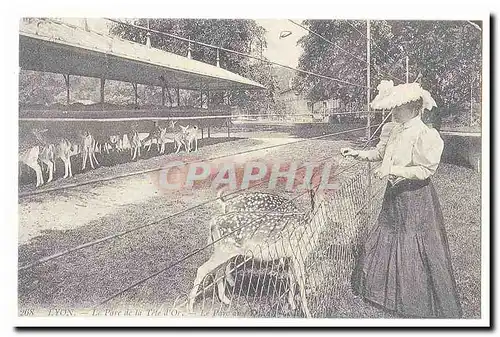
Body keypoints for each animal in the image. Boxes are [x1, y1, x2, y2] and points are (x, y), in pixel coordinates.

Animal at [188, 185, 324, 316]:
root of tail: (214, 221)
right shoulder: (298, 253)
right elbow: (300, 280)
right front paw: (307, 312)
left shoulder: (291, 255)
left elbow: (292, 277)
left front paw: (292, 304)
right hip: (223, 250)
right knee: (203, 269)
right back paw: (190, 306)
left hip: (225, 250)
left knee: (218, 271)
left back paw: (226, 297)